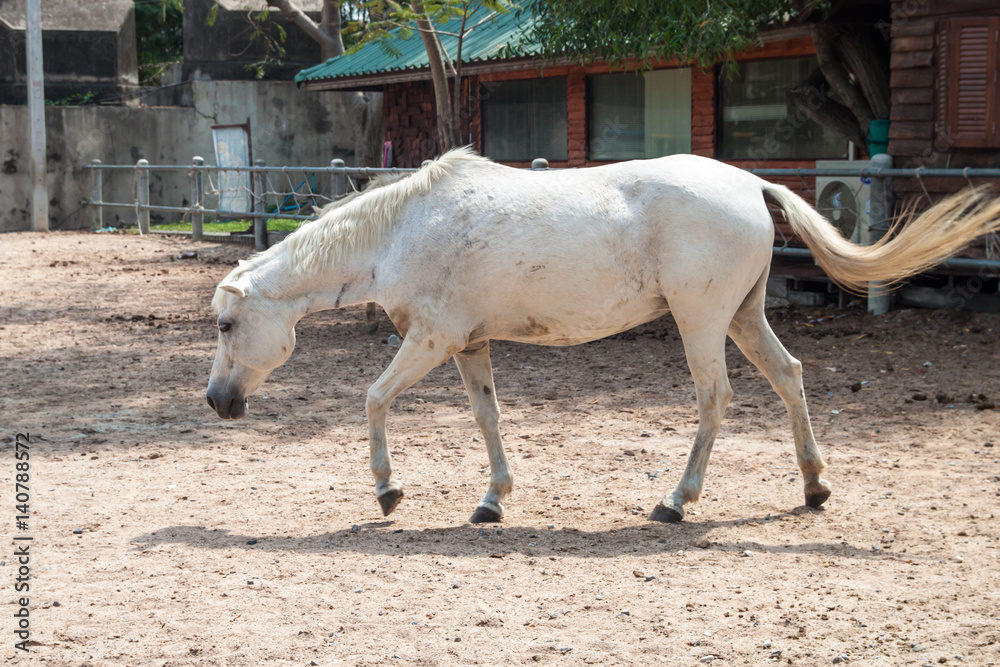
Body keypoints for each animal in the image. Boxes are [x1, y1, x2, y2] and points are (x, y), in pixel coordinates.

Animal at [207, 148, 1000, 524]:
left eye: (225, 323)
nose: (217, 401)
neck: (403, 229)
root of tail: (750, 184)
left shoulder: (430, 339)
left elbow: (373, 399)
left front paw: (387, 490)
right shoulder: (469, 345)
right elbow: (487, 417)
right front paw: (492, 500)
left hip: (702, 322)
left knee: (715, 399)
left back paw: (677, 500)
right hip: (744, 316)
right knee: (790, 377)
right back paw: (813, 486)